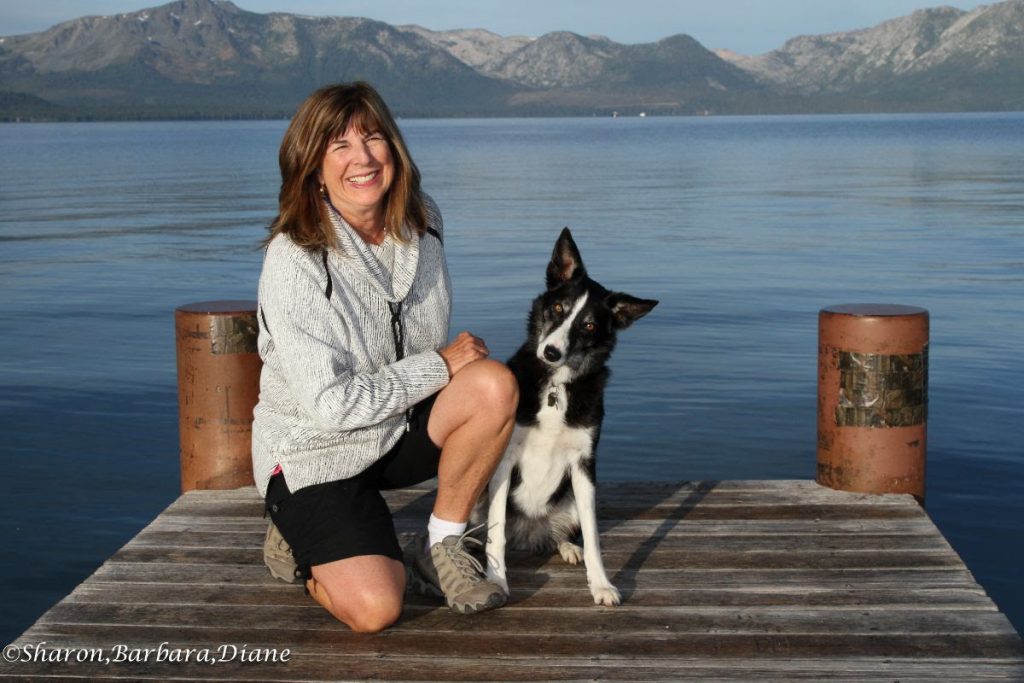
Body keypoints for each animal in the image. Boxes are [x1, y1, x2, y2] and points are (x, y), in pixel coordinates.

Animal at [485, 228, 659, 602]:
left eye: (590, 325)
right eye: (557, 308)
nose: (551, 352)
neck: (557, 383)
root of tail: (529, 533)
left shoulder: (584, 465)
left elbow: (594, 536)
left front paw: (601, 583)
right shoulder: (504, 458)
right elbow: (495, 532)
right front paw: (496, 581)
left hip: (570, 501)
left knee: (562, 533)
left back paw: (567, 547)